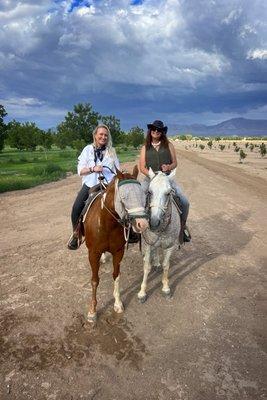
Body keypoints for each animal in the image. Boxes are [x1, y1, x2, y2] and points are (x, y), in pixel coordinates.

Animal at [84, 166, 149, 322]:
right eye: (124, 197)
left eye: (142, 194)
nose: (142, 224)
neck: (107, 224)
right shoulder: (93, 253)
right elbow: (94, 280)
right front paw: (92, 311)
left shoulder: (118, 252)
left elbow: (116, 275)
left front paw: (118, 304)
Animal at [139, 167, 181, 302]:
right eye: (149, 192)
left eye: (168, 193)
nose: (153, 222)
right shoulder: (148, 244)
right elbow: (147, 266)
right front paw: (142, 292)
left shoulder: (170, 246)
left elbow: (166, 265)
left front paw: (166, 288)